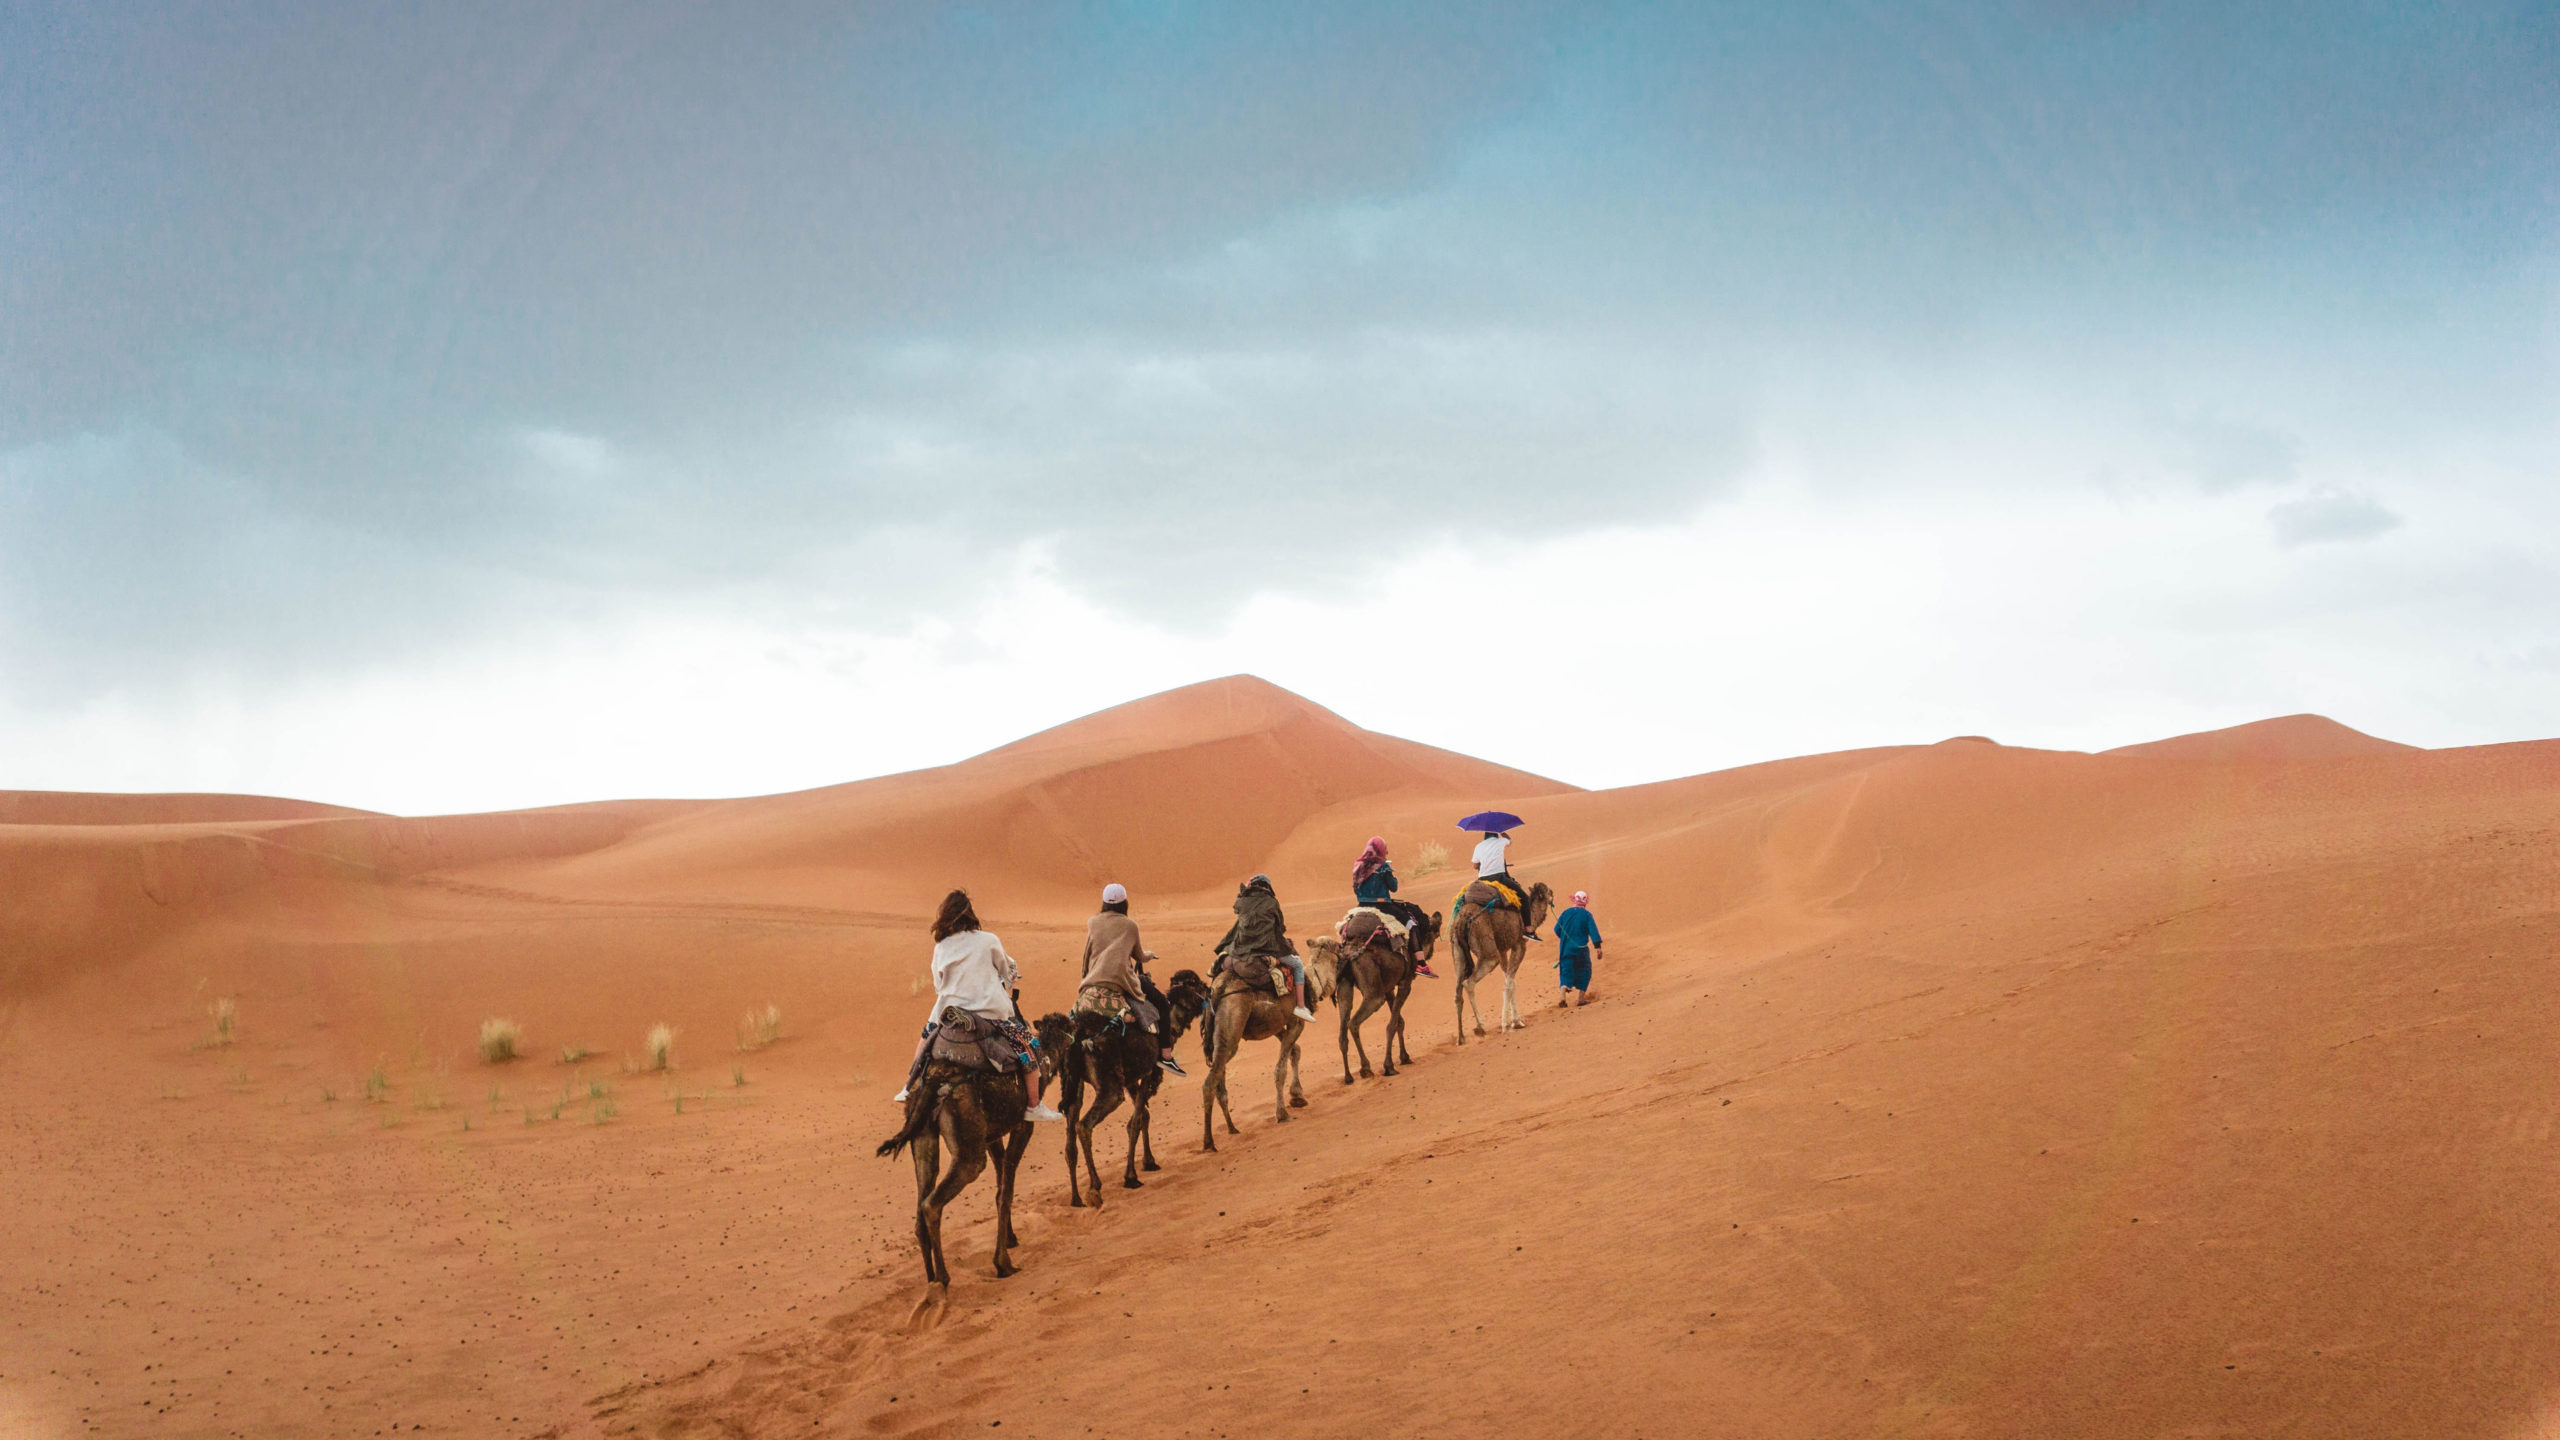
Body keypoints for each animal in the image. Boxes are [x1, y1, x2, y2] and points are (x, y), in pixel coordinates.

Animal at [870, 1024, 1049, 1281]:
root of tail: (934, 1079)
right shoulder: (1023, 1124)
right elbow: (1005, 1191)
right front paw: (1003, 1263)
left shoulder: (991, 1134)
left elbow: (1000, 1182)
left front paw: (1011, 1240)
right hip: (968, 1142)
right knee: (934, 1202)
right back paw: (943, 1279)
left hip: (923, 1134)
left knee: (922, 1202)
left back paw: (932, 1279)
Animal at [1029, 968, 1208, 1204]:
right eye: (1195, 983)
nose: (1209, 989)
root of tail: (1080, 1037)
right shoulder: (1148, 1072)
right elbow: (1136, 1121)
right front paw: (1131, 1176)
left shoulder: (1131, 1079)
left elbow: (1144, 1116)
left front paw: (1149, 1162)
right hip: (1110, 1087)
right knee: (1084, 1125)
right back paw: (1094, 1188)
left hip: (1073, 1084)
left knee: (1070, 1140)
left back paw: (1076, 1199)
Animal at [1198, 958, 1320, 1147]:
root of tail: (1219, 988)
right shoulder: (1295, 1022)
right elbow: (1280, 1069)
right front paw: (1283, 1114)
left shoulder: (1275, 1025)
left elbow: (1296, 1051)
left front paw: (1297, 1096)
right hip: (1233, 1021)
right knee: (1210, 1082)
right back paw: (1209, 1142)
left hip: (1221, 1035)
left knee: (1219, 1076)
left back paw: (1232, 1128)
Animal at [1454, 881, 1546, 1035]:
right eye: (1547, 892)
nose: (1552, 894)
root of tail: (1463, 919)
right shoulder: (1519, 944)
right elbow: (1509, 983)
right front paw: (1508, 1024)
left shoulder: (1502, 949)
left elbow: (1510, 981)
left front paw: (1516, 1022)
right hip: (1488, 952)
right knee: (1468, 982)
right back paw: (1480, 1026)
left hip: (1457, 950)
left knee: (1458, 989)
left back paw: (1461, 1037)